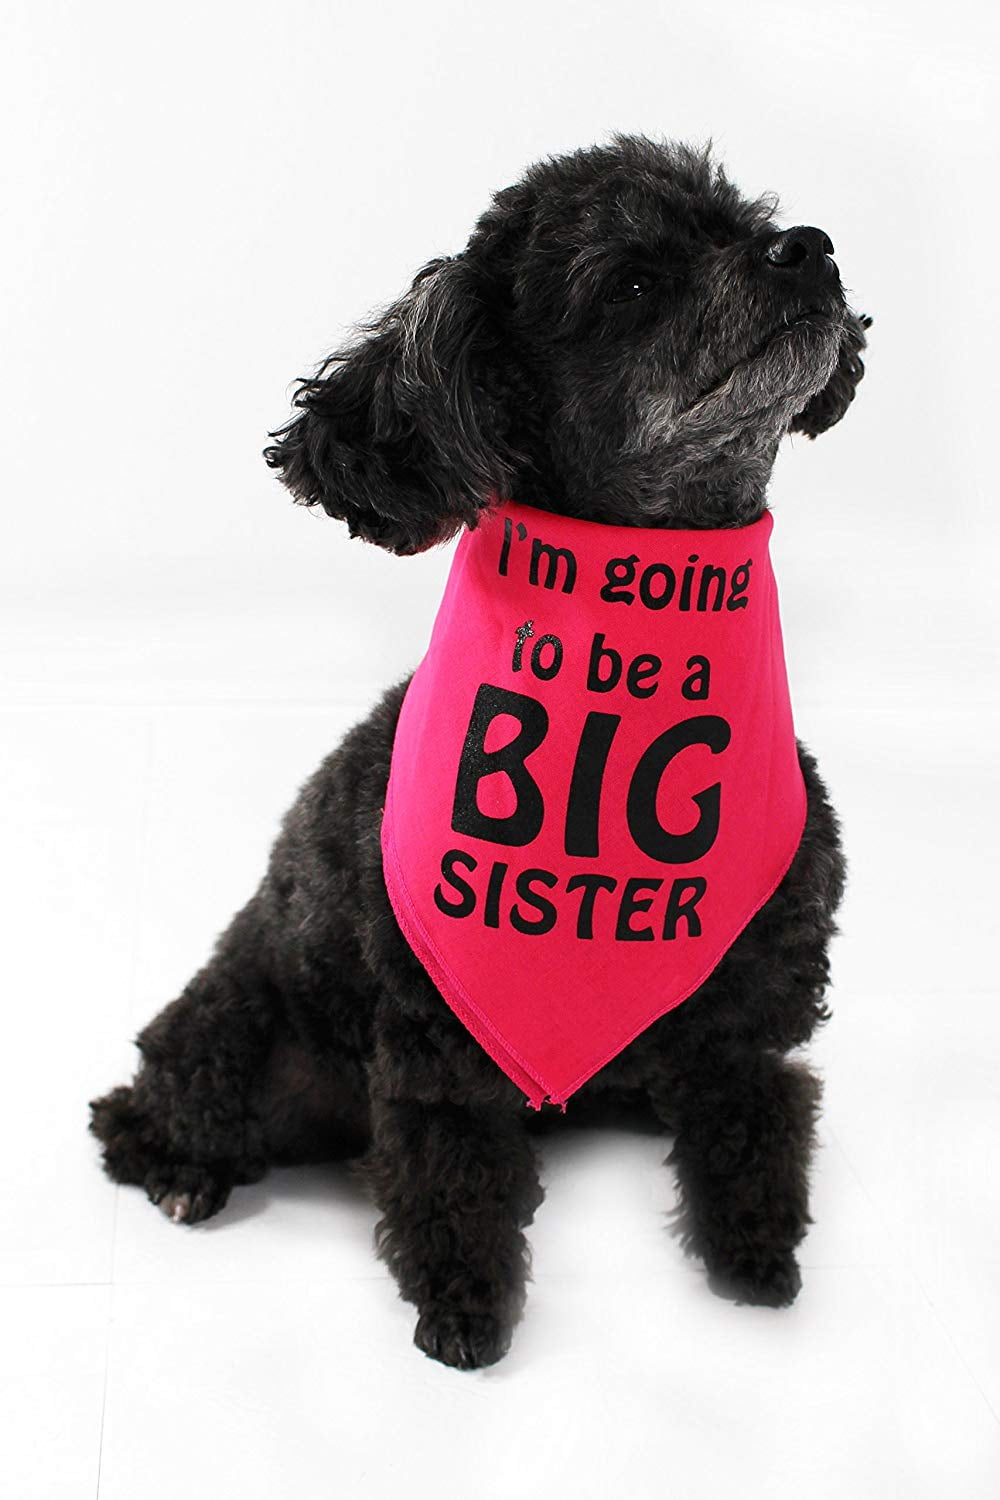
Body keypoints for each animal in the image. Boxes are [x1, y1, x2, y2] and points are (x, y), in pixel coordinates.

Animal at [95, 138, 875, 1374]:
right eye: (632, 282)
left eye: (745, 221)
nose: (808, 249)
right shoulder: (435, 1045)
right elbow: (450, 1173)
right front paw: (462, 1308)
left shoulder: (753, 1006)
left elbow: (754, 1118)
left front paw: (754, 1258)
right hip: (233, 1032)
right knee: (135, 1115)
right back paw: (179, 1172)